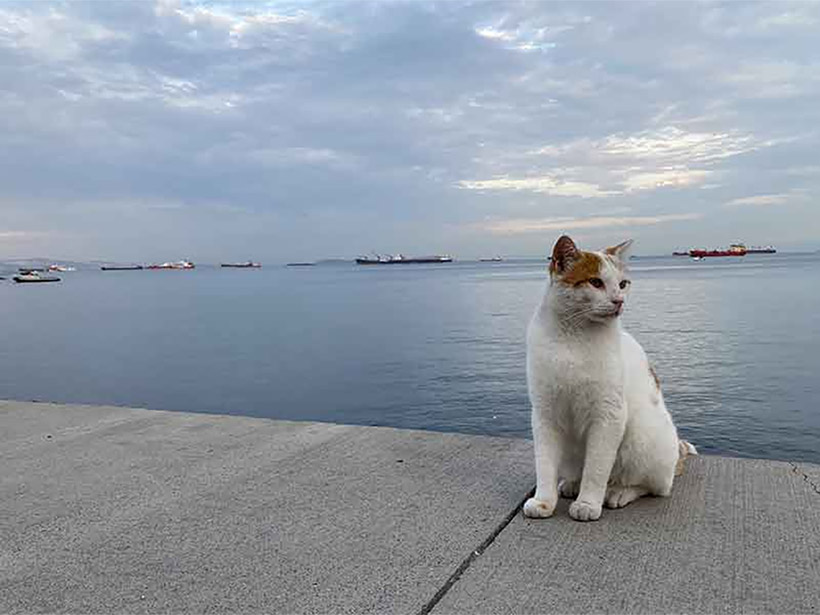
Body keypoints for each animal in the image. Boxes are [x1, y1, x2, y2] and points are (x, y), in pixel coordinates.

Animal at [524, 233, 692, 524]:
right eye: (595, 282)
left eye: (623, 284)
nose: (619, 301)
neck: (574, 338)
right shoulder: (545, 413)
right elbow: (544, 463)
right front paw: (544, 501)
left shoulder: (608, 415)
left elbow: (597, 467)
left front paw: (588, 503)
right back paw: (572, 484)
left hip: (641, 437)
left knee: (654, 486)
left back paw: (617, 492)